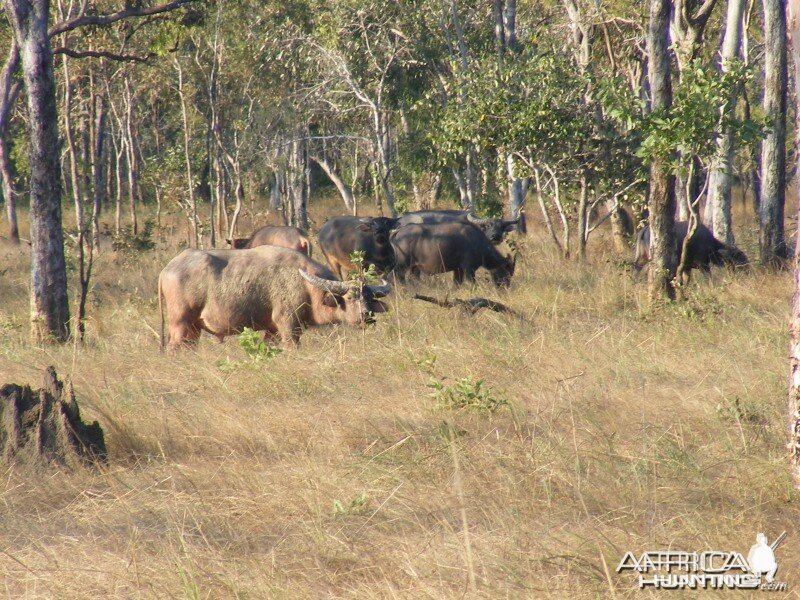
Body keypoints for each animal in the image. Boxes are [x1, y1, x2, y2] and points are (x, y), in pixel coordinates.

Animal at [157, 245, 390, 350]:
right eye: (350, 298)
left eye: (369, 298)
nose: (367, 315)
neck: (306, 286)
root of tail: (167, 269)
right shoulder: (287, 325)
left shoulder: (272, 330)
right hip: (180, 323)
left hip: (194, 329)